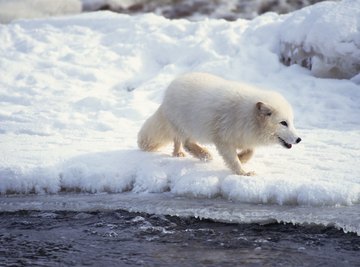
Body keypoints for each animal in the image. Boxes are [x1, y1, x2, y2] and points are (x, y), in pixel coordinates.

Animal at [138, 72, 300, 176]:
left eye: (291, 122)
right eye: (283, 123)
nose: (299, 139)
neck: (246, 115)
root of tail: (171, 85)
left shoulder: (243, 137)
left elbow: (250, 152)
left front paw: (242, 158)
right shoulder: (223, 139)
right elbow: (232, 160)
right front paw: (243, 172)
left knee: (178, 141)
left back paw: (179, 154)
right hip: (187, 126)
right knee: (185, 142)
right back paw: (203, 154)